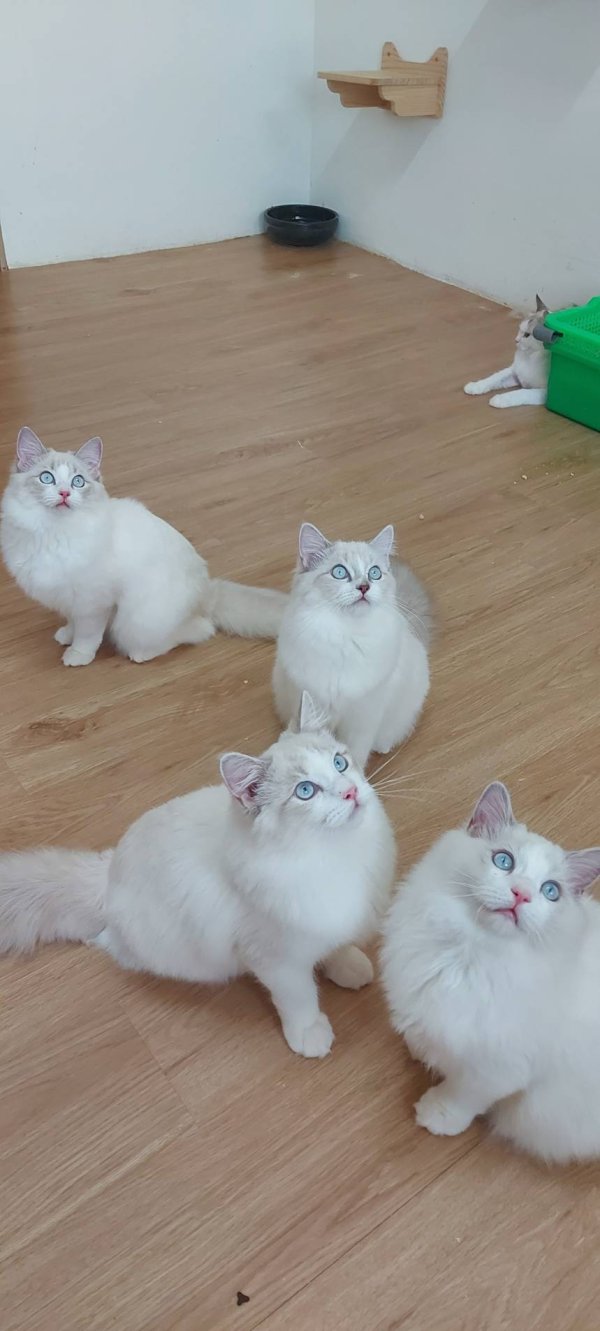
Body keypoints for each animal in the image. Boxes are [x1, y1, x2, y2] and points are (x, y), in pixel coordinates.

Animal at [0, 427, 286, 665]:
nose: (64, 494)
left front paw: (78, 655)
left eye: (78, 482)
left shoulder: (93, 603)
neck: (52, 532)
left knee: (199, 631)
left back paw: (141, 654)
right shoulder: (69, 598)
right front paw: (66, 636)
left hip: (137, 622)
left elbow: (87, 635)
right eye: (47, 478)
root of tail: (207, 591)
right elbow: (72, 623)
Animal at [0, 693, 396, 1058]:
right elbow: (299, 998)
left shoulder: (328, 920)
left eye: (340, 763)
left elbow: (336, 946)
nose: (351, 792)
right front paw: (309, 1034)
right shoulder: (276, 959)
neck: (332, 855)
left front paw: (348, 966)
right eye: (305, 791)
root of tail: (107, 873)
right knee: (107, 943)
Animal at [272, 522, 431, 769]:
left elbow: (356, 756)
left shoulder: (363, 719)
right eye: (339, 572)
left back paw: (383, 746)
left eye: (374, 573)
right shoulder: (316, 705)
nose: (364, 587)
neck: (345, 634)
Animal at [381, 780, 600, 1163]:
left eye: (550, 891)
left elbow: (462, 1095)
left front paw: (438, 1115)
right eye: (504, 860)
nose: (521, 894)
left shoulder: (497, 1070)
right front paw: (421, 1048)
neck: (470, 954)